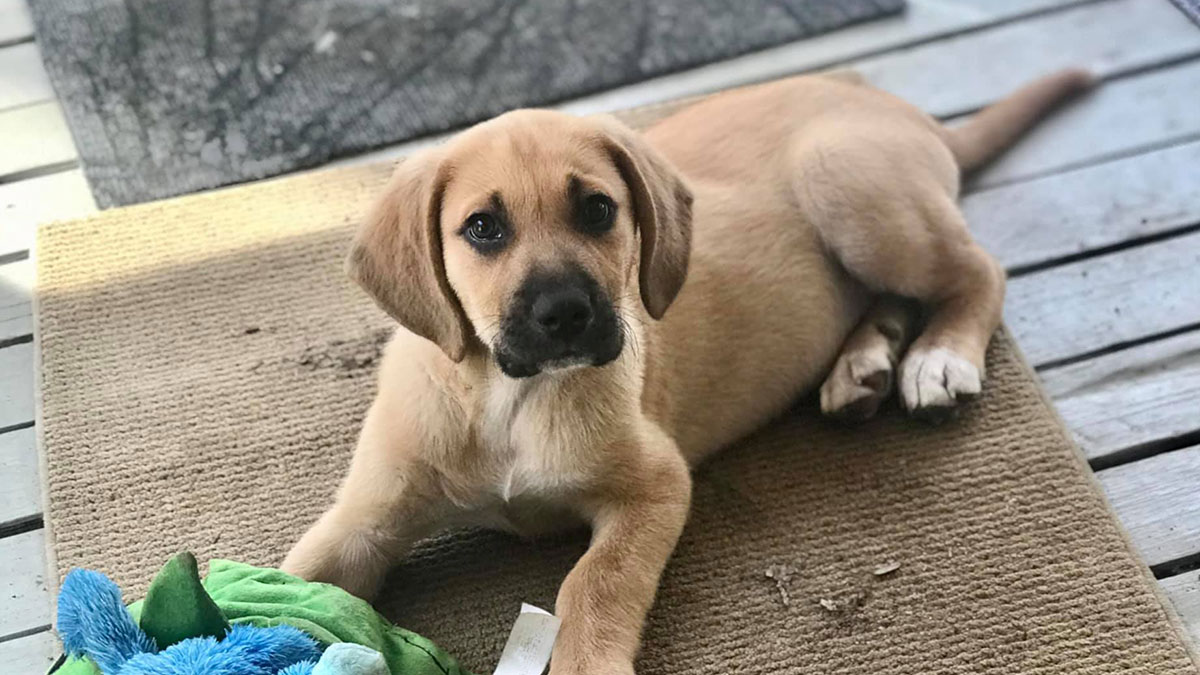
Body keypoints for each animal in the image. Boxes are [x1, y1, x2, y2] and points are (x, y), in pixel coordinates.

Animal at [285, 69, 1094, 672]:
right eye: (482, 228)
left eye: (598, 210)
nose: (566, 314)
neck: (508, 397)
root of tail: (892, 104)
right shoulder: (364, 519)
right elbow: (296, 574)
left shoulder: (654, 484)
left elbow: (594, 584)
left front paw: (587, 659)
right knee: (894, 296)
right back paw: (862, 364)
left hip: (849, 188)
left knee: (978, 271)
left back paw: (938, 357)